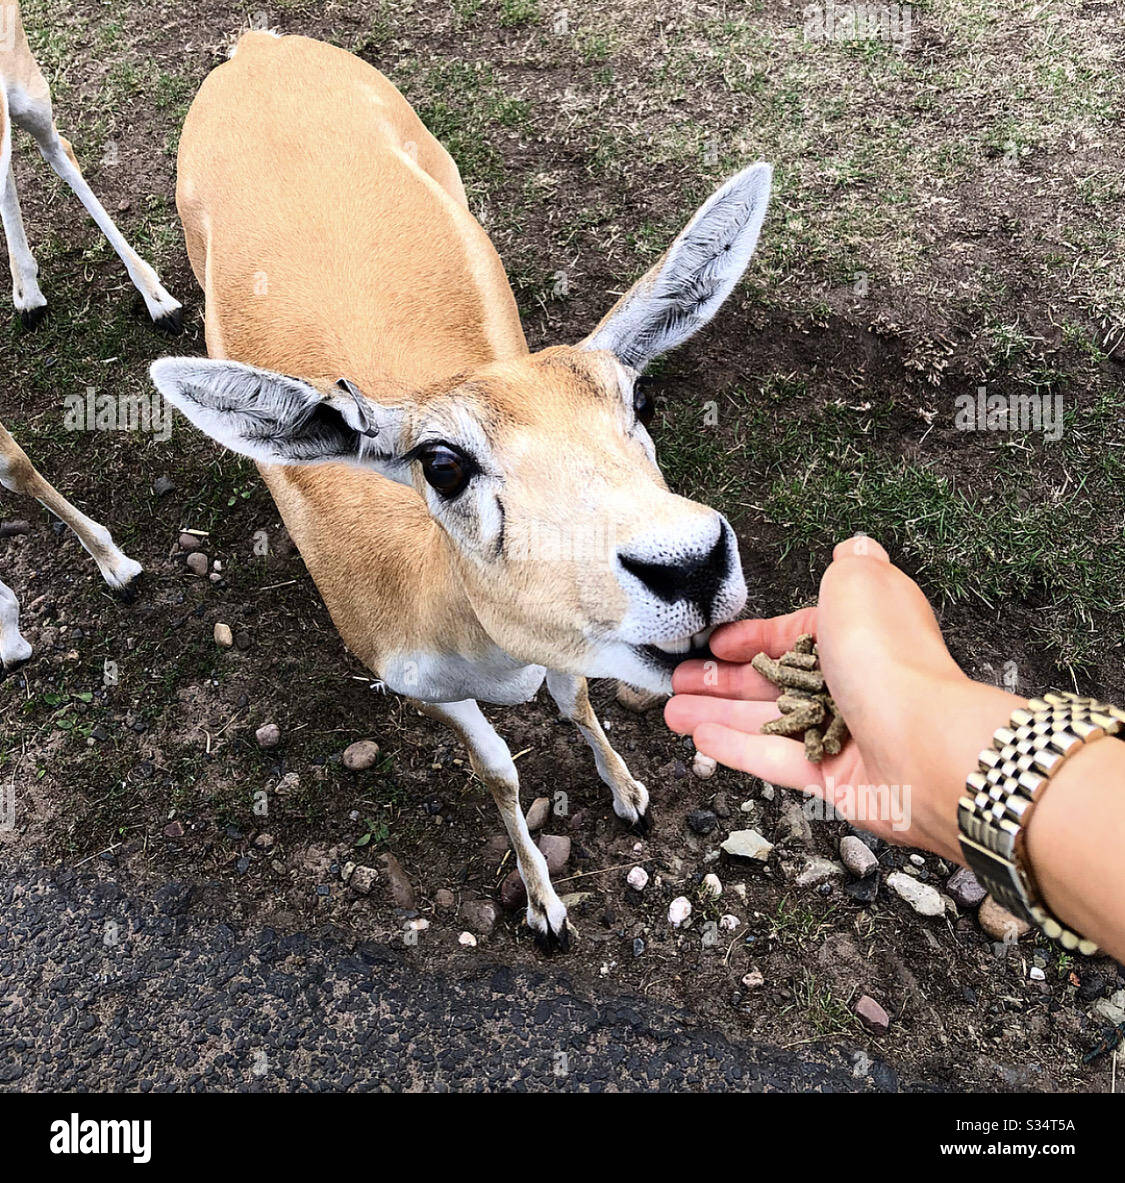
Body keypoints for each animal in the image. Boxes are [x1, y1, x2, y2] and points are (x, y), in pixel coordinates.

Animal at [151, 30, 776, 951]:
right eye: (442, 463)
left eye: (641, 399)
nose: (690, 566)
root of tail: (259, 45)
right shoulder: (414, 686)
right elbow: (499, 774)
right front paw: (545, 906)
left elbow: (576, 695)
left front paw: (628, 792)